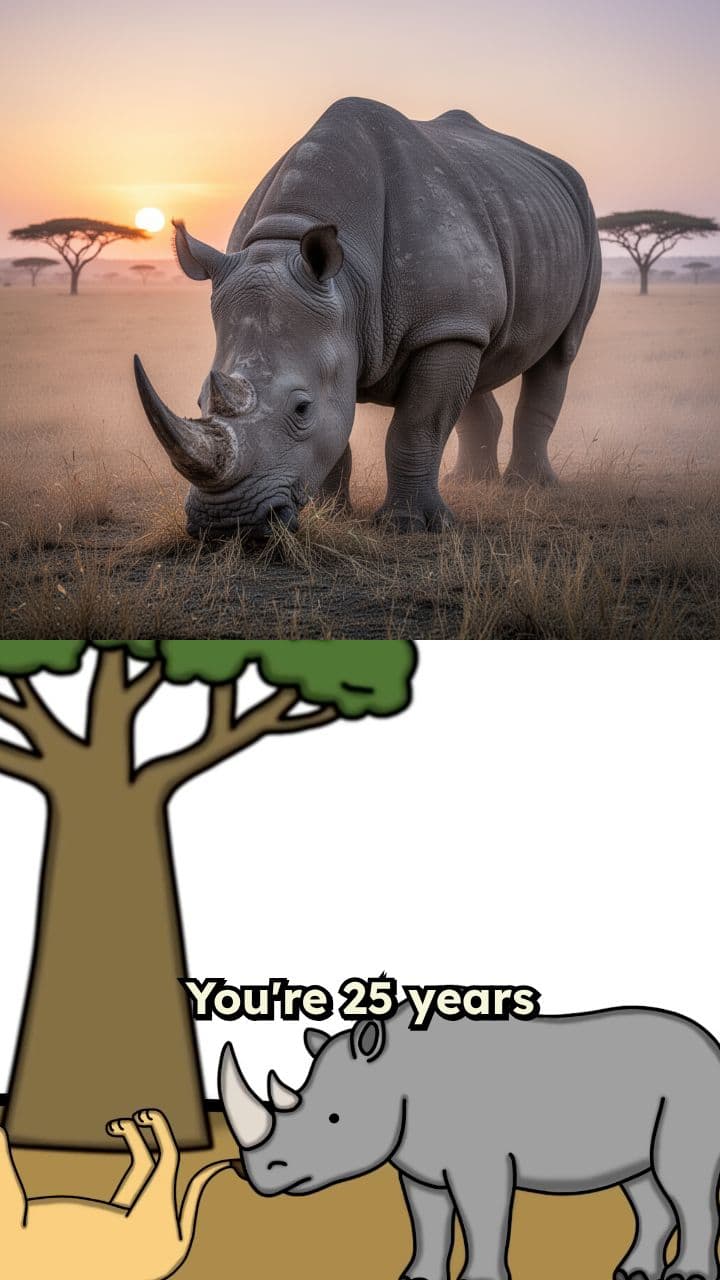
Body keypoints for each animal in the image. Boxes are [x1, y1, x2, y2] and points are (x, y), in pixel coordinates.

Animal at [134, 97, 601, 539]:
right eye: (199, 400)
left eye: (301, 408)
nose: (226, 524)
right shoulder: (368, 329)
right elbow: (339, 432)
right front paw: (331, 515)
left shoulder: (440, 322)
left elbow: (418, 425)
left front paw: (409, 526)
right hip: (488, 263)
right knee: (480, 354)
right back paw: (470, 483)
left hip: (574, 226)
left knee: (559, 353)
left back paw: (529, 488)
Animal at [219, 1003, 720, 1280]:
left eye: (334, 1119)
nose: (260, 1176)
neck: (394, 1074)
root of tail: (710, 1044)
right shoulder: (417, 1163)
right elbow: (427, 1222)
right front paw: (417, 1279)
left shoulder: (479, 1160)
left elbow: (482, 1217)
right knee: (643, 1180)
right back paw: (632, 1274)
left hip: (693, 1086)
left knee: (682, 1178)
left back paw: (687, 1278)